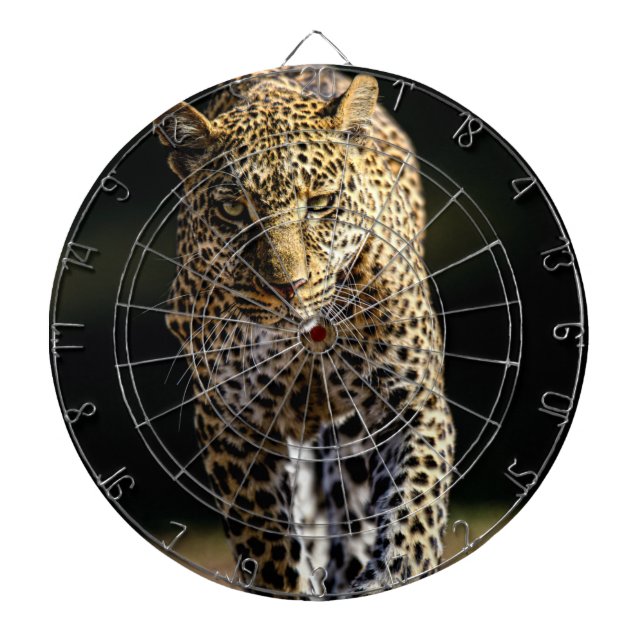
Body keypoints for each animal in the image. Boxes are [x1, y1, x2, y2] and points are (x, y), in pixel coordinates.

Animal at [154, 67, 456, 597]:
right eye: (234, 210)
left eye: (319, 204)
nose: (287, 287)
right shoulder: (235, 426)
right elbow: (268, 546)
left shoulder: (413, 404)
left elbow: (413, 515)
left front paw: (387, 577)